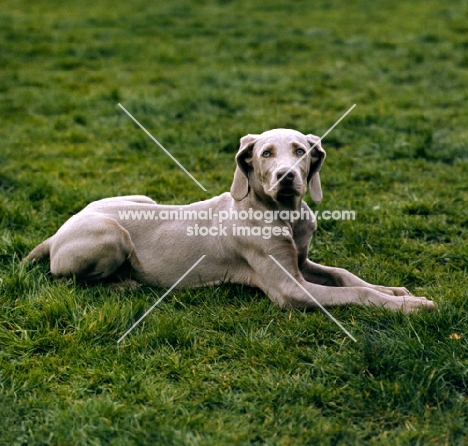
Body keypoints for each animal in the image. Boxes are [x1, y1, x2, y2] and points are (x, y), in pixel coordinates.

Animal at [25, 128, 436, 314]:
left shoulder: (301, 262)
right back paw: (127, 285)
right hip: (110, 235)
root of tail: (56, 233)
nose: (287, 176)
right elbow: (355, 293)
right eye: (266, 153)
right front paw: (412, 305)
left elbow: (345, 275)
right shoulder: (290, 289)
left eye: (301, 152)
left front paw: (396, 292)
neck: (283, 213)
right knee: (72, 282)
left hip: (142, 199)